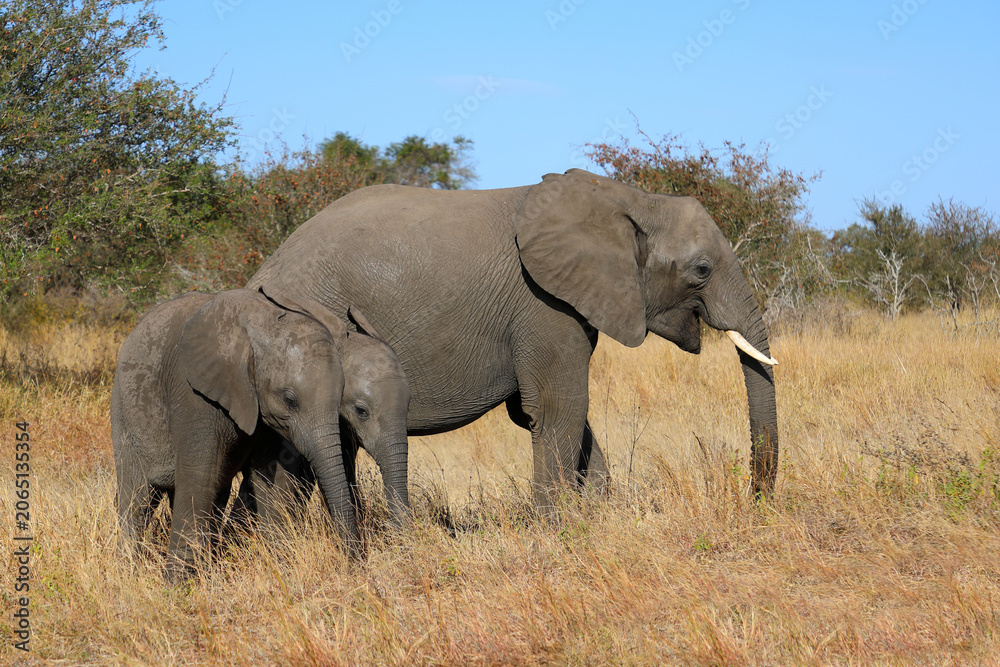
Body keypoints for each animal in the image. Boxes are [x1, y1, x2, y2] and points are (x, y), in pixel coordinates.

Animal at [110, 287, 408, 575]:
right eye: (290, 399)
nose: (356, 565)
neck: (262, 325)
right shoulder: (193, 392)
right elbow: (200, 475)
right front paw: (179, 585)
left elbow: (272, 479)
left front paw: (279, 569)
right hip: (124, 412)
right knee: (137, 498)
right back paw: (131, 571)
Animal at [247, 168, 779, 509]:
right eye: (701, 270)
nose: (756, 501)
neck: (629, 199)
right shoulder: (543, 304)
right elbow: (558, 406)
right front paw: (558, 527)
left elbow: (535, 412)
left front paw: (598, 512)